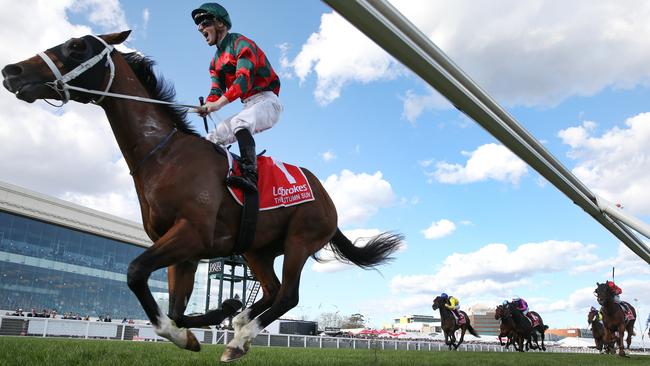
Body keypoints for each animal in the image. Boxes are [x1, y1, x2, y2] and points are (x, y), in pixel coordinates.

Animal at [1, 31, 400, 364]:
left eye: (76, 47)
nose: (11, 70)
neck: (165, 156)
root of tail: (326, 197)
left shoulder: (192, 234)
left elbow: (136, 273)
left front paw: (191, 331)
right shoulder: (183, 249)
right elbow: (175, 309)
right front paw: (216, 314)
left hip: (300, 238)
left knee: (288, 295)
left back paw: (239, 340)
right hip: (257, 250)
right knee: (271, 291)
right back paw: (239, 322)